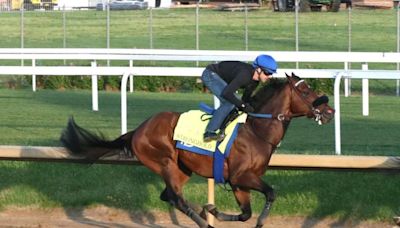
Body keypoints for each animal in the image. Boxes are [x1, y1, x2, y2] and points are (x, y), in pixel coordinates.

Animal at [59, 72, 334, 226]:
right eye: (305, 90)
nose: (330, 110)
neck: (257, 130)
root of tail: (138, 130)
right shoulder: (241, 176)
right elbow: (270, 194)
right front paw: (254, 220)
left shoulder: (238, 182)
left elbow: (245, 213)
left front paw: (212, 209)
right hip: (165, 162)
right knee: (176, 198)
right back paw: (204, 222)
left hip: (183, 169)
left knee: (169, 196)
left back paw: (203, 213)